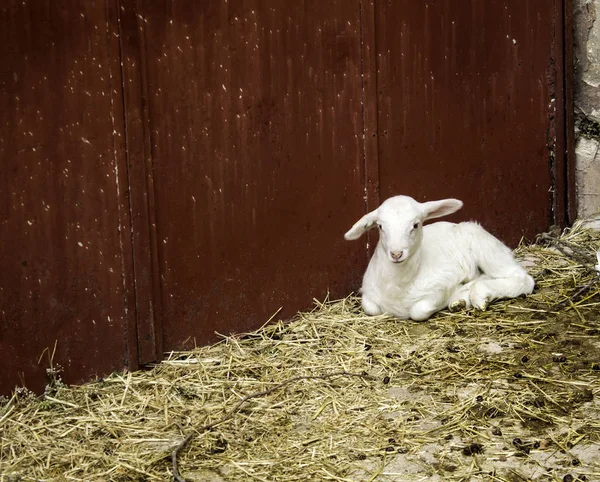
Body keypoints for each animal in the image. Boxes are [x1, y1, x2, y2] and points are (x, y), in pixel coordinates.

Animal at [344, 194, 536, 322]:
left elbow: (419, 310)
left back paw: (479, 293)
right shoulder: (369, 293)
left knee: (522, 278)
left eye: (415, 225)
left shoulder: (440, 284)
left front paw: (456, 292)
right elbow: (370, 307)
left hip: (484, 246)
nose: (396, 254)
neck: (399, 287)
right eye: (380, 226)